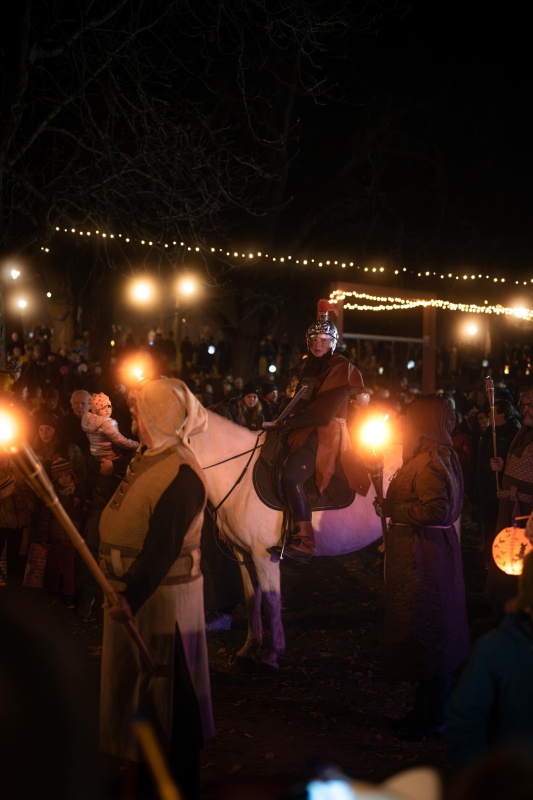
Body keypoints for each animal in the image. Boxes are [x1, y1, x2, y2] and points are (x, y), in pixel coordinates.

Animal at [192, 404, 403, 669]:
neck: (236, 472)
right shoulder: (244, 554)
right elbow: (251, 600)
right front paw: (250, 648)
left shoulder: (263, 556)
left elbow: (271, 602)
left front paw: (273, 654)